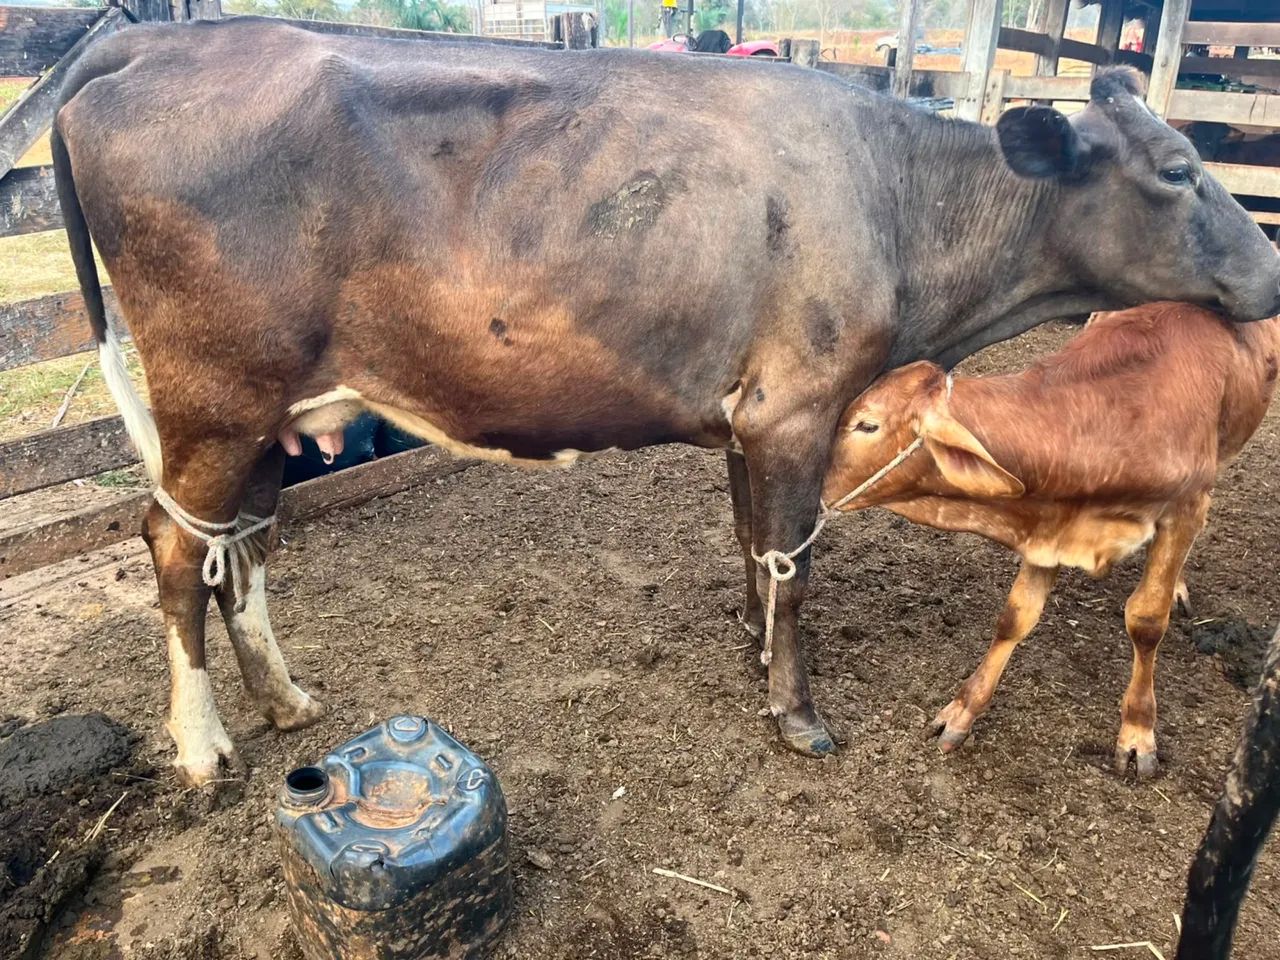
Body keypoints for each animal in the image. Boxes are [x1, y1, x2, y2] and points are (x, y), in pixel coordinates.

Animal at [820, 303, 1280, 777]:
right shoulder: (1051, 521)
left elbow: (1147, 621)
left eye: (867, 424)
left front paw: (1138, 731)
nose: (811, 486)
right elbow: (1015, 616)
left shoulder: (1183, 509)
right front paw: (963, 710)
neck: (1113, 415)